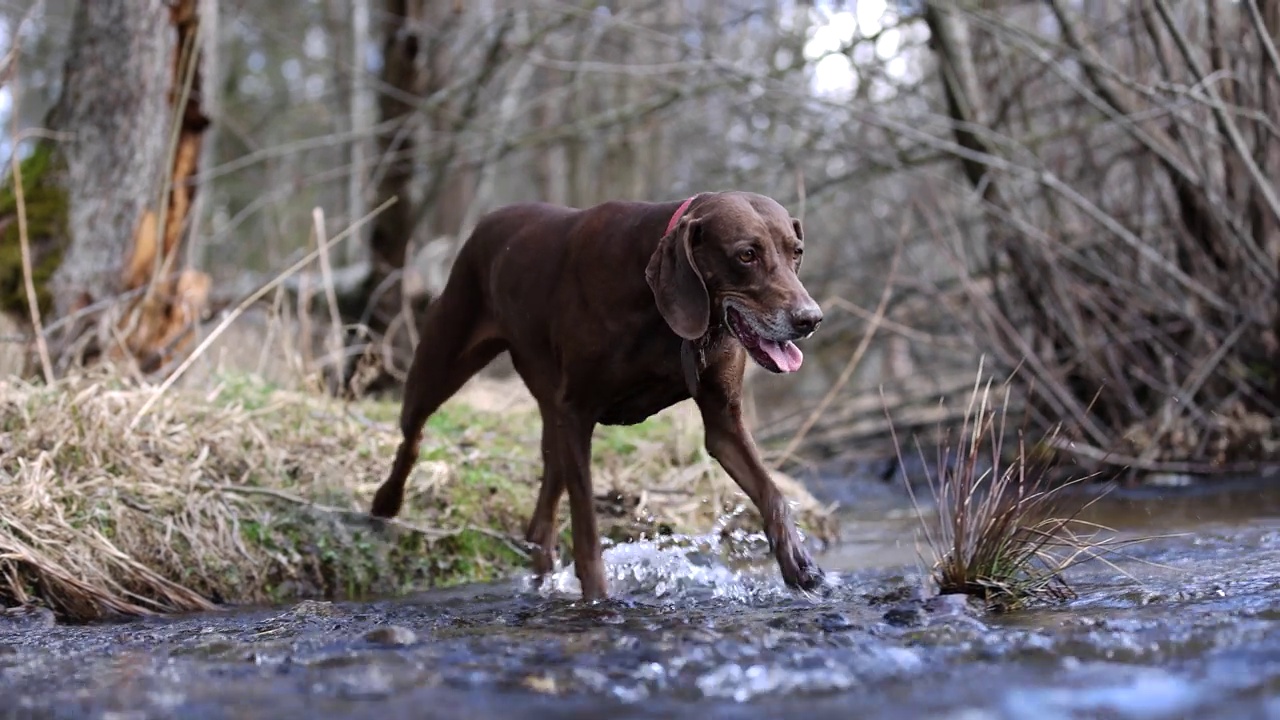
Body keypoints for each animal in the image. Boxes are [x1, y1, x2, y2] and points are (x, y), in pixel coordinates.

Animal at [373, 189, 824, 594]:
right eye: (746, 255)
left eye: (796, 252)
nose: (810, 319)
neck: (658, 311)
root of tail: (487, 222)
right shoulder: (577, 413)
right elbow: (587, 530)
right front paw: (598, 600)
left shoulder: (723, 421)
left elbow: (771, 492)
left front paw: (797, 561)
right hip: (440, 363)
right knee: (412, 433)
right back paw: (386, 503)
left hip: (547, 408)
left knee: (542, 518)